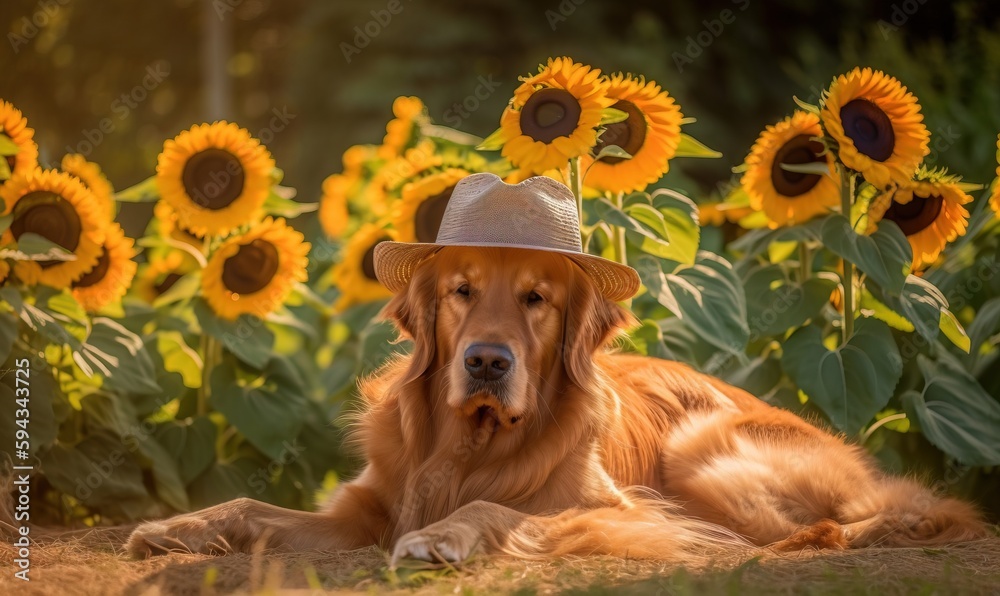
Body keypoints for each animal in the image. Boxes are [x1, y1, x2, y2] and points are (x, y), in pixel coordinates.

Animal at [129, 244, 988, 564]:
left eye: (536, 299)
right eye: (461, 291)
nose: (485, 360)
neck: (469, 444)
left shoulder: (619, 506)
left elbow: (500, 509)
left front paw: (445, 535)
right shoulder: (364, 511)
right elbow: (248, 504)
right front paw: (179, 526)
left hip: (705, 452)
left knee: (867, 514)